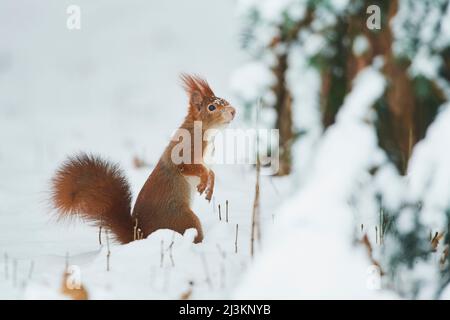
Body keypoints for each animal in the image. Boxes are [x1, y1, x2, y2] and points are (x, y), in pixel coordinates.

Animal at [50, 75, 236, 244]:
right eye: (212, 107)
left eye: (225, 100)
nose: (233, 111)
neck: (205, 132)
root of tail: (140, 234)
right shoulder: (185, 151)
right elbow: (192, 168)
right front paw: (204, 182)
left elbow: (211, 171)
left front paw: (210, 187)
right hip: (181, 217)